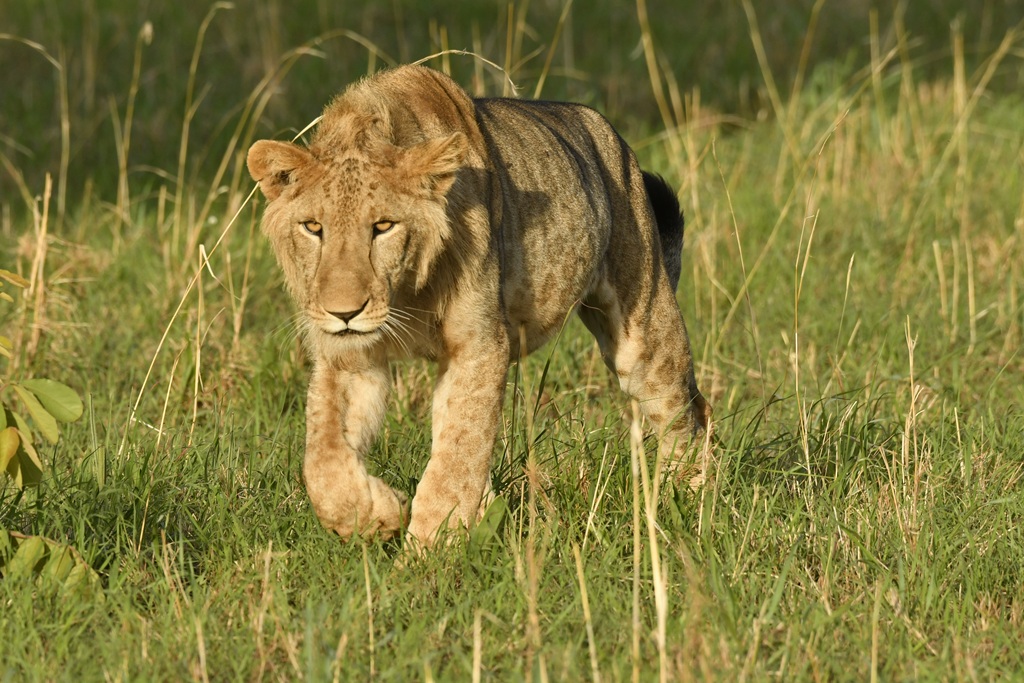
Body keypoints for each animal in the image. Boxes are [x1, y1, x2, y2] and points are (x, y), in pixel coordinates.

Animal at [247, 65, 709, 547]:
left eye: (384, 226)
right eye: (312, 227)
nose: (344, 313)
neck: (406, 295)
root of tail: (614, 137)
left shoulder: (480, 345)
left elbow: (457, 457)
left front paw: (429, 551)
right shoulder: (348, 356)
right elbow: (323, 456)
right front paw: (375, 514)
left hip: (643, 331)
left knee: (690, 411)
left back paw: (683, 504)